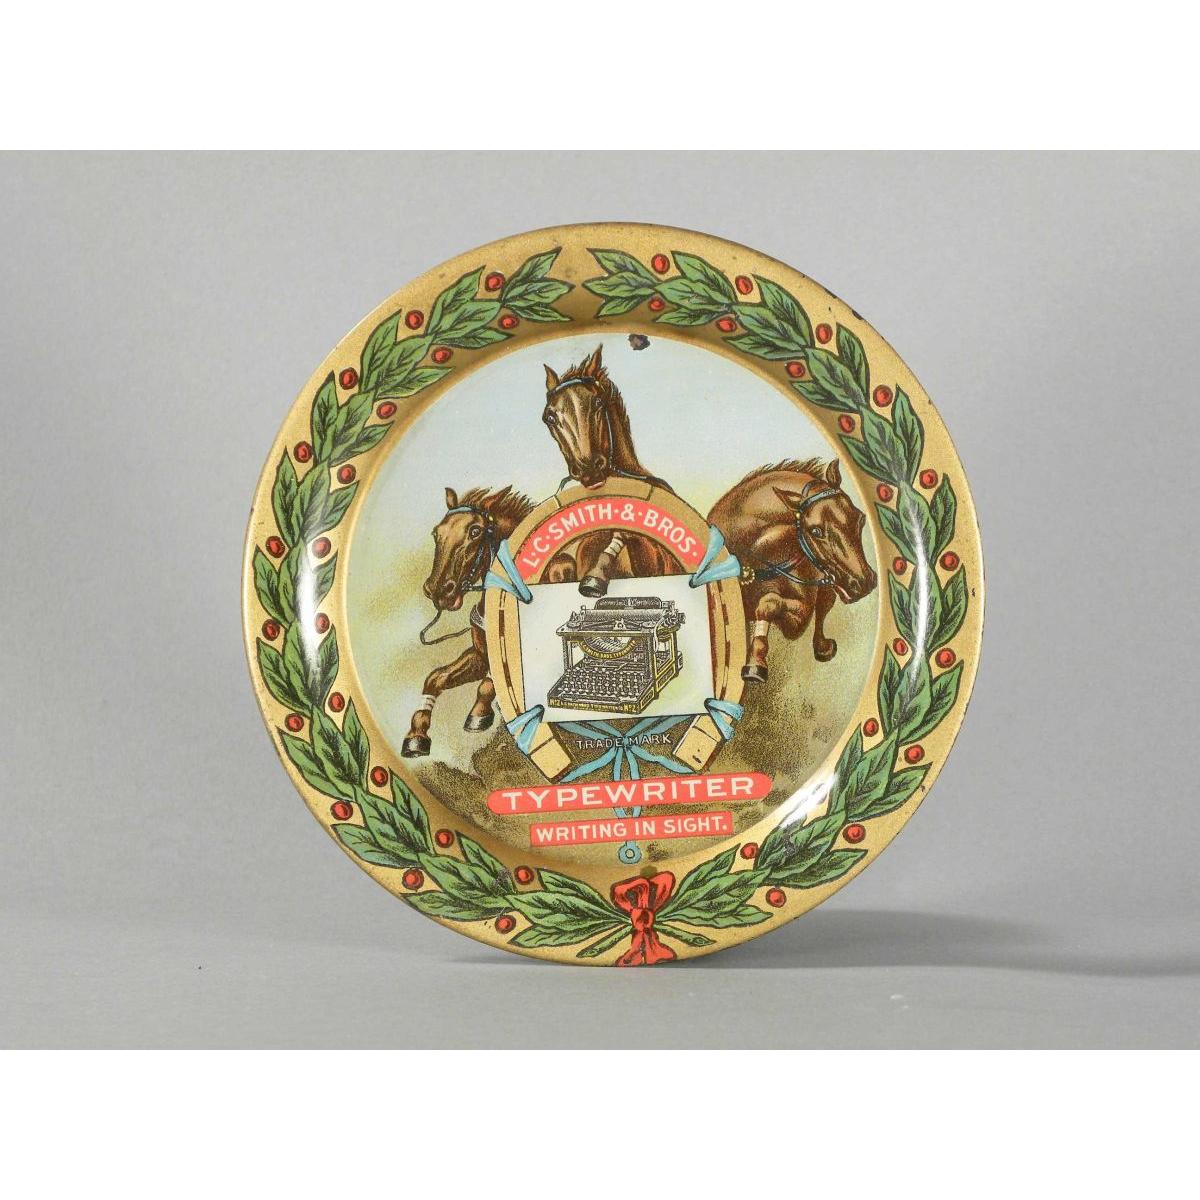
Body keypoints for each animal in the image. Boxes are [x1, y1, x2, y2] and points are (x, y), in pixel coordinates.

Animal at [402, 485, 536, 758]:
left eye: (475, 531)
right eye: (436, 532)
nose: (438, 590)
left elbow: (491, 684)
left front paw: (478, 714)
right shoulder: (480, 654)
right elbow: (436, 678)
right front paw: (416, 736)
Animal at [707, 458, 878, 682]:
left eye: (860, 518)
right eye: (816, 530)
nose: (864, 582)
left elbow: (775, 605)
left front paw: (756, 661)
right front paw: (755, 663)